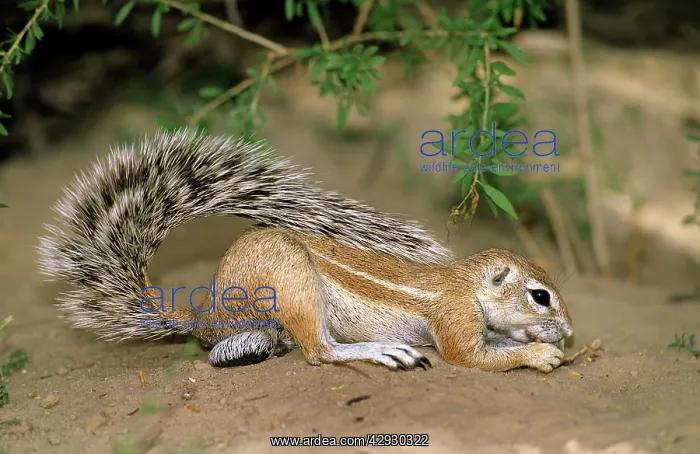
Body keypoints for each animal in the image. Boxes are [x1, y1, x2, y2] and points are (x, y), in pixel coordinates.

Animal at [37, 128, 574, 373]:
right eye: (540, 296)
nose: (570, 332)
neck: (467, 284)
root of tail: (207, 313)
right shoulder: (454, 319)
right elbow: (473, 356)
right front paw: (541, 353)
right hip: (292, 278)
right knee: (319, 351)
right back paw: (383, 351)